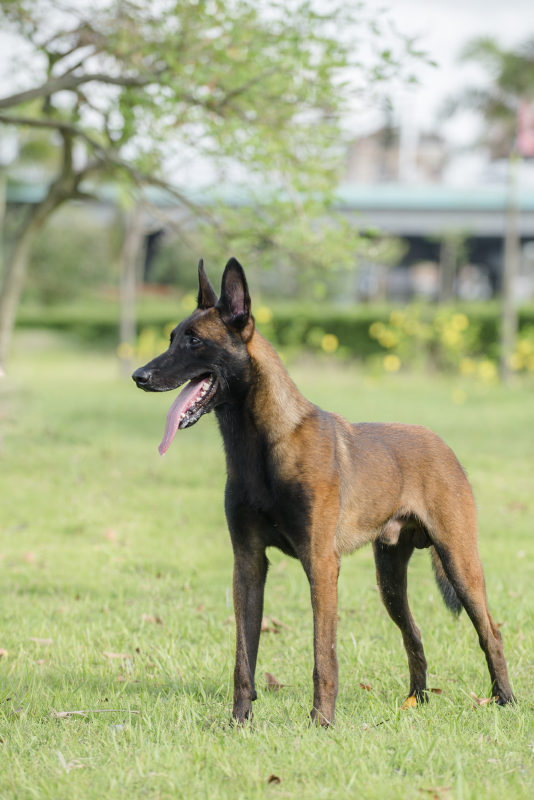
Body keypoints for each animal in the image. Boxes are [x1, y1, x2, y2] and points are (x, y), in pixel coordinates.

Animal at [133, 256, 516, 724]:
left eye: (193, 340)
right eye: (172, 337)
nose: (138, 376)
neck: (262, 445)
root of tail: (441, 443)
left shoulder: (320, 564)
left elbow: (323, 654)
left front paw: (322, 721)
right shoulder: (248, 564)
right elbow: (243, 656)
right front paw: (239, 721)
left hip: (460, 563)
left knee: (491, 632)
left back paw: (505, 699)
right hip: (390, 580)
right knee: (414, 634)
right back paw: (416, 700)